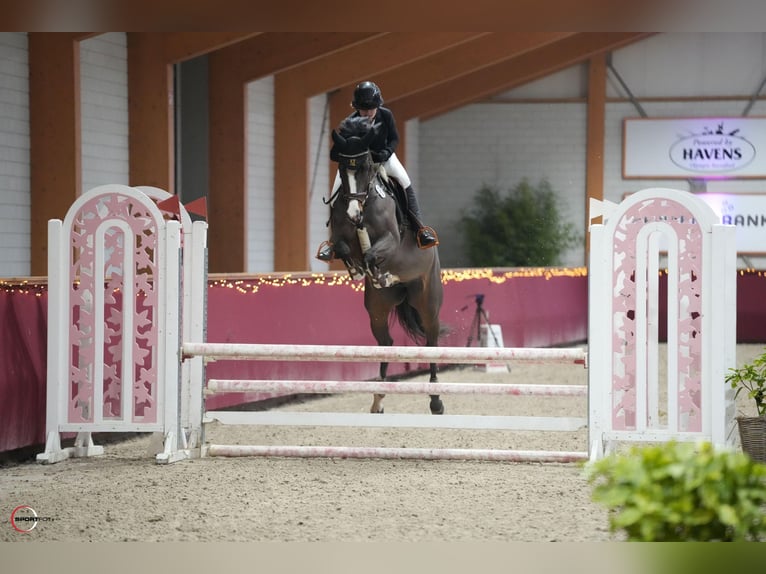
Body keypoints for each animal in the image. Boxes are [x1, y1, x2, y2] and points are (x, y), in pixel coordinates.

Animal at [328, 117, 448, 416]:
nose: (354, 214)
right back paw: (378, 399)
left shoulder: (391, 240)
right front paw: (358, 270)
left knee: (431, 342)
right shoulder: (340, 238)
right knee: (386, 344)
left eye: (365, 167)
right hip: (378, 309)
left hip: (427, 301)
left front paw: (377, 272)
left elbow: (373, 254)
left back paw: (436, 401)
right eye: (342, 169)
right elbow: (345, 249)